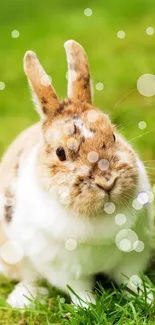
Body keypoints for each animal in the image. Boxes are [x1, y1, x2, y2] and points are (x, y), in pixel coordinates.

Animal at [0, 40, 153, 306]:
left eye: (114, 136)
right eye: (60, 153)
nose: (107, 181)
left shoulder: (134, 253)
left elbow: (133, 279)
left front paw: (149, 298)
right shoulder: (63, 269)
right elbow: (80, 292)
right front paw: (89, 307)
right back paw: (26, 298)